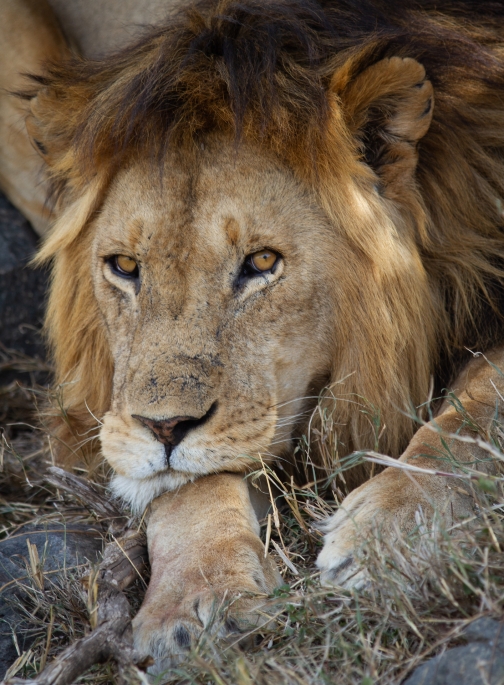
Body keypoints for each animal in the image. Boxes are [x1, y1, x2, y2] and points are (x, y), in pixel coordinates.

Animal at [2, 0, 504, 672]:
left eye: (262, 263)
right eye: (125, 266)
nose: (163, 428)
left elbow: (476, 412)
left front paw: (392, 535)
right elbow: (184, 483)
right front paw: (195, 600)